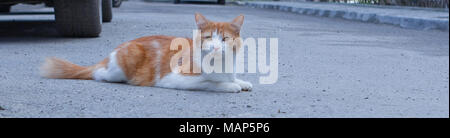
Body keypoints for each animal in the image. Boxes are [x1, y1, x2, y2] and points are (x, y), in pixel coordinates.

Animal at [39, 12, 253, 92]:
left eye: (224, 39)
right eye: (209, 37)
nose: (215, 47)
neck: (220, 65)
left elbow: (233, 78)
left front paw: (241, 82)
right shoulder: (173, 78)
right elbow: (209, 83)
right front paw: (229, 86)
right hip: (122, 65)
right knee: (98, 74)